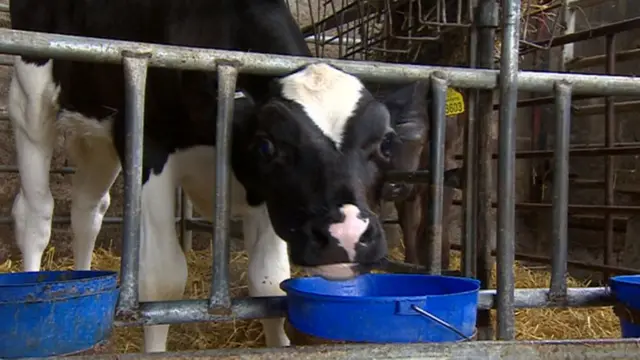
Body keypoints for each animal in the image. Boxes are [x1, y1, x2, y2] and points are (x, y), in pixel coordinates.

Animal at [5, 0, 428, 352]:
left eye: (386, 143)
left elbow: (268, 280)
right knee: (36, 213)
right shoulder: (147, 146)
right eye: (267, 146)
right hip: (32, 90)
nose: (347, 235)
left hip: (99, 134)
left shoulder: (265, 194)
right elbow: (162, 280)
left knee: (88, 209)